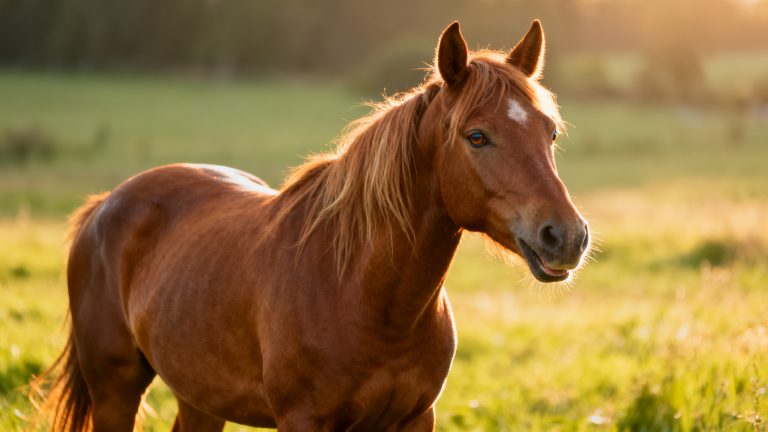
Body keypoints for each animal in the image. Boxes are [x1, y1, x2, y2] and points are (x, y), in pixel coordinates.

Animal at [38, 20, 589, 431]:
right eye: (477, 136)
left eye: (550, 132)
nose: (566, 236)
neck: (365, 296)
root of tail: (105, 204)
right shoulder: (304, 421)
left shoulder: (416, 418)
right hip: (116, 389)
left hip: (199, 396)